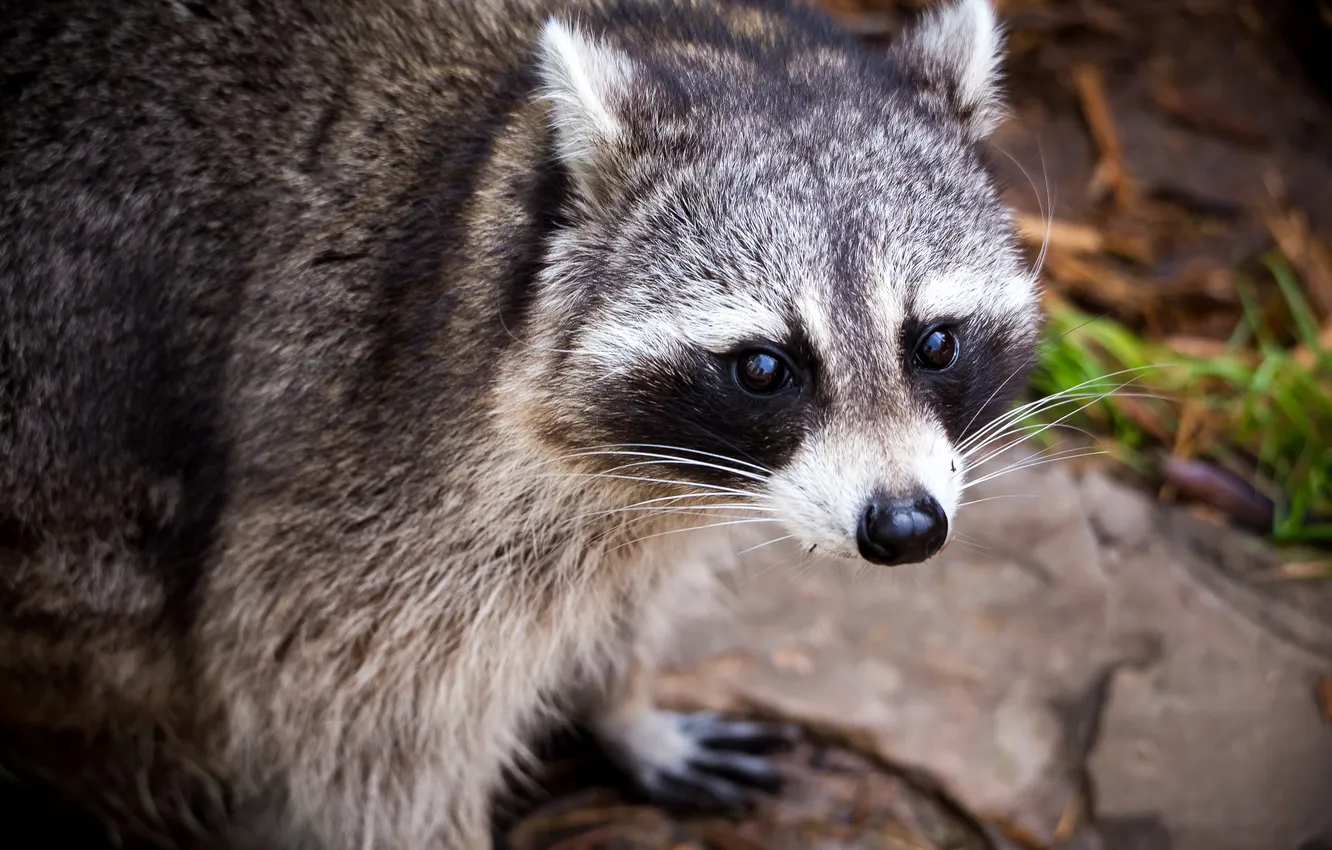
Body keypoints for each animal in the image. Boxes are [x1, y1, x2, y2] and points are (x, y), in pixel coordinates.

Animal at [0, 0, 1040, 847]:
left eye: (934, 343)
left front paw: (623, 701)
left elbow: (628, 591)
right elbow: (345, 715)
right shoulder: (362, 466)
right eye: (763, 367)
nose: (905, 527)